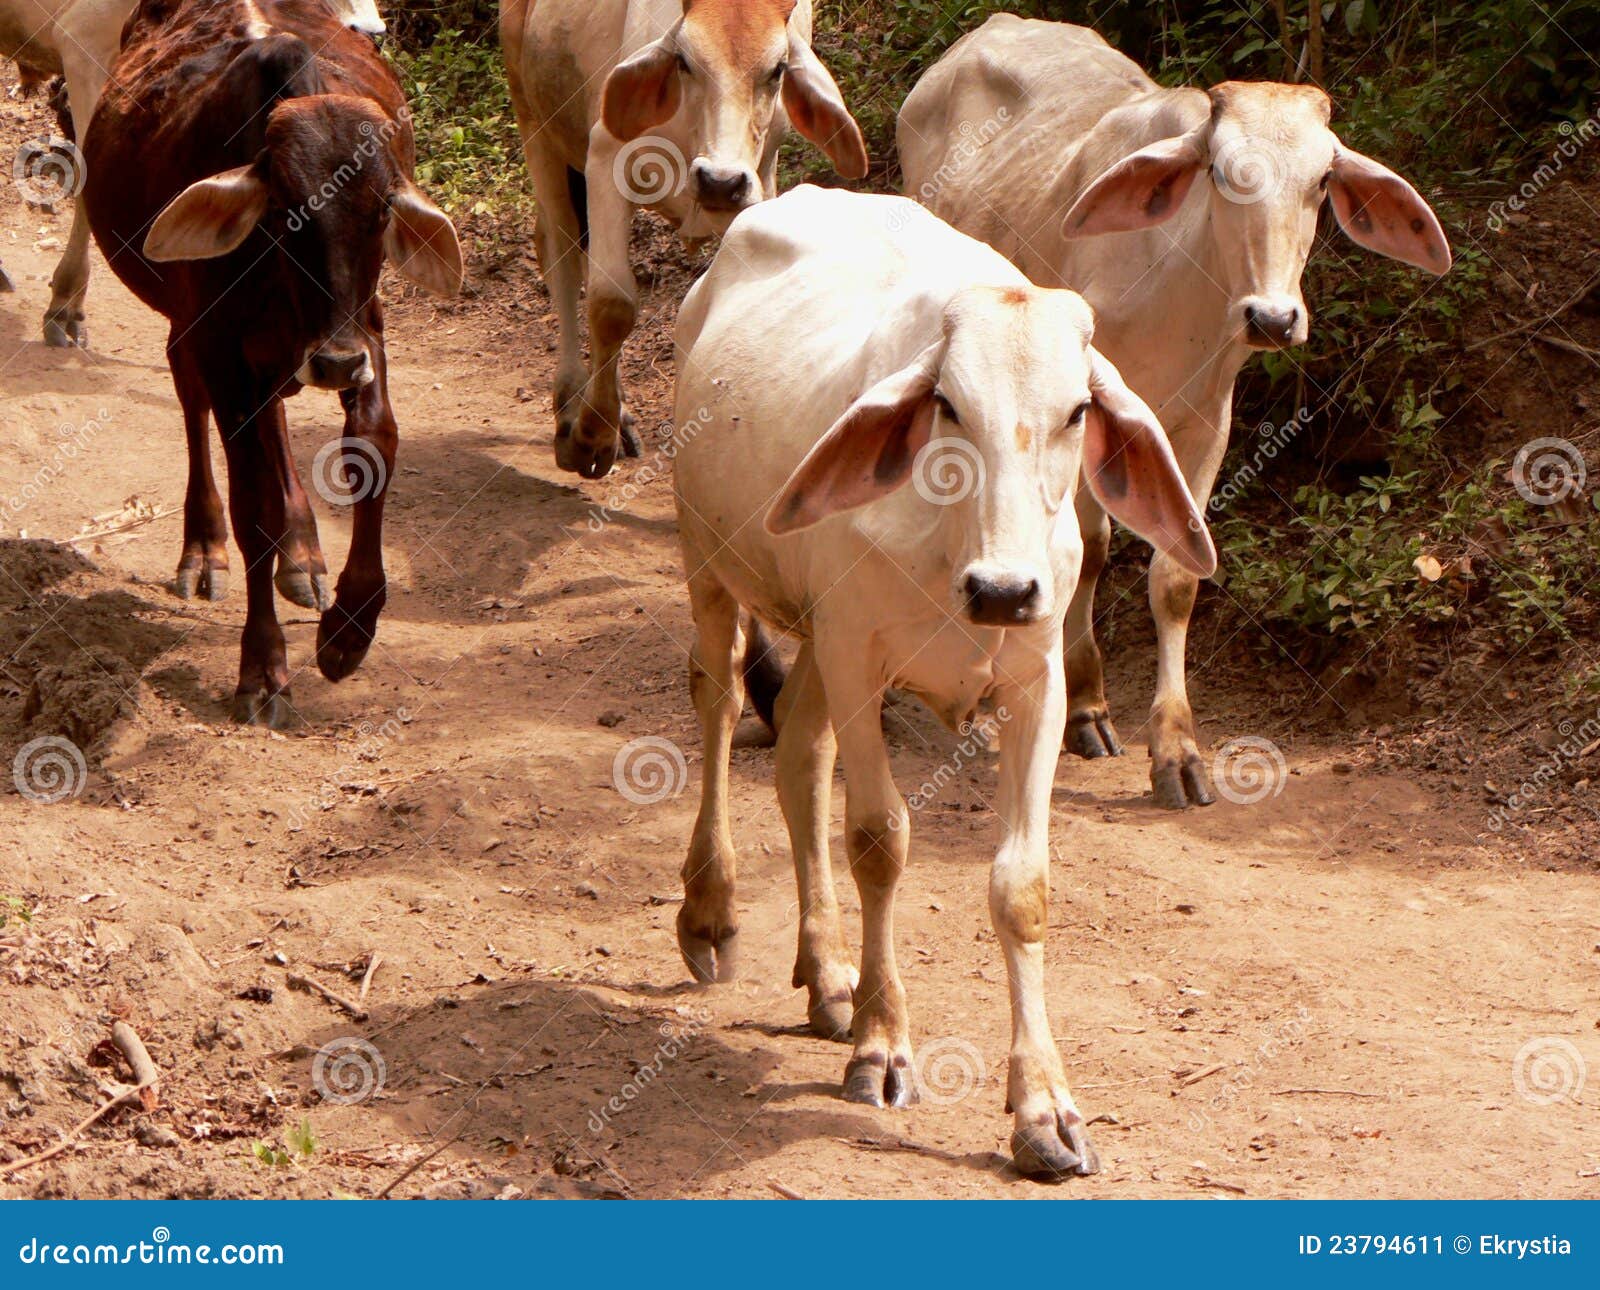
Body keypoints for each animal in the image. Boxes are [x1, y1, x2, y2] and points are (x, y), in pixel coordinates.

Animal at [84, 0, 464, 726]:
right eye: (287, 210)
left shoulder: (364, 329)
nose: (336, 364)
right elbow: (251, 505)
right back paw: (206, 550)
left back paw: (306, 556)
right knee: (196, 403)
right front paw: (263, 670)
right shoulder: (220, 344)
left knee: (275, 422)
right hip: (197, 336)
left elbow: (373, 449)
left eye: (380, 211)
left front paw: (348, 630)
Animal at [502, 0, 870, 480]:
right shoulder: (605, 156)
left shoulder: (757, 184)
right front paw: (591, 437)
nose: (719, 181)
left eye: (777, 69)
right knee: (561, 255)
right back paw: (570, 410)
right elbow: (611, 305)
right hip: (535, 123)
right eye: (684, 61)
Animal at [672, 187, 1209, 1177]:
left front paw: (1044, 1110)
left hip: (817, 635)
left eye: (1078, 410)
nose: (1003, 589)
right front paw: (883, 1046)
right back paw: (713, 913)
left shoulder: (1034, 687)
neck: (956, 537)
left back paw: (827, 972)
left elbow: (1020, 886)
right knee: (720, 703)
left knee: (799, 754)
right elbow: (879, 841)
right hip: (711, 563)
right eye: (949, 405)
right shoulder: (858, 658)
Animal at [902, 15, 1452, 806]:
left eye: (1321, 181)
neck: (1177, 284)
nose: (1273, 317)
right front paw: (1086, 706)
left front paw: (1176, 750)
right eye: (1222, 172)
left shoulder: (1206, 424)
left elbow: (1176, 579)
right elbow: (1090, 550)